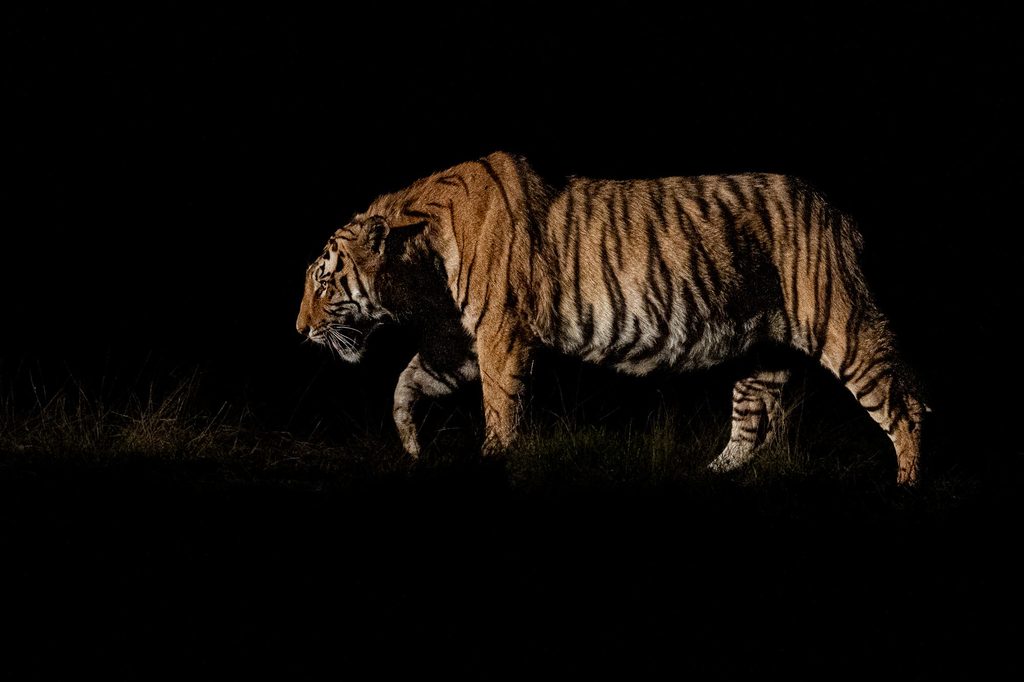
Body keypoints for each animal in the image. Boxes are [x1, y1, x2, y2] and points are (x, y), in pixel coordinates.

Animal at [296, 151, 928, 485]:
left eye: (324, 283)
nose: (299, 329)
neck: (422, 266)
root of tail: (838, 213)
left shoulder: (500, 336)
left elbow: (500, 409)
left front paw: (494, 463)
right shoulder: (460, 343)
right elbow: (407, 382)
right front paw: (412, 448)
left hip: (839, 321)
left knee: (903, 403)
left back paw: (905, 487)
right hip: (762, 351)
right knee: (751, 425)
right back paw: (710, 477)